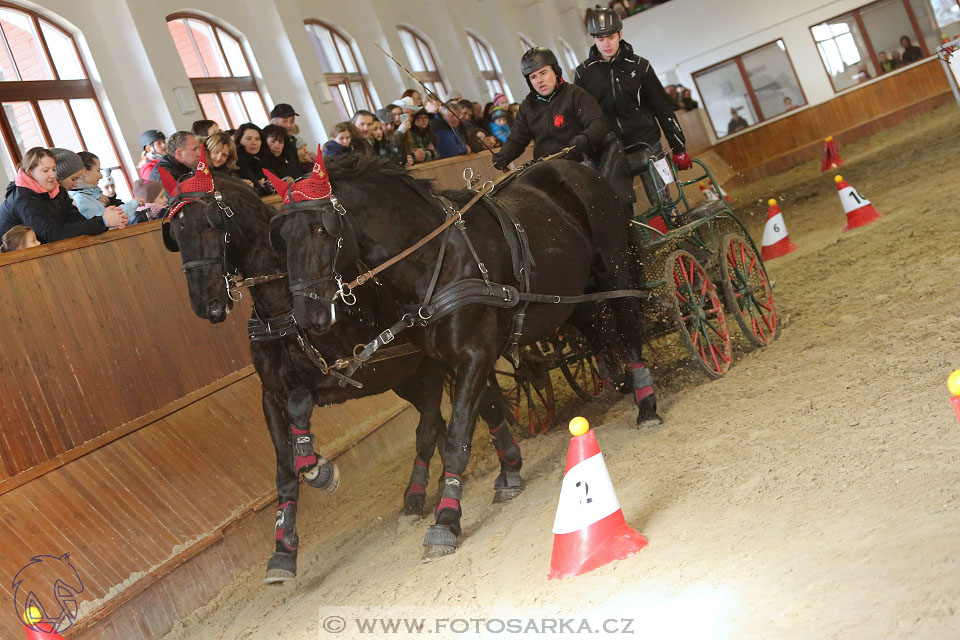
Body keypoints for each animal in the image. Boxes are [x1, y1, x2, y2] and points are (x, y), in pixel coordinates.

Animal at [161, 154, 528, 580]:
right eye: (175, 233)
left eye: (211, 223)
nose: (207, 304)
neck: (282, 306)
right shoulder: (270, 396)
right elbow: (284, 472)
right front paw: (283, 549)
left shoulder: (337, 373)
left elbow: (301, 418)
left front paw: (321, 469)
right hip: (407, 376)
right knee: (447, 417)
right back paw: (434, 487)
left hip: (428, 365)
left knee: (442, 421)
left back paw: (442, 488)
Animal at [270, 152, 656, 556]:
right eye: (281, 238)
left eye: (322, 230)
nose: (307, 316)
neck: (434, 260)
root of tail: (575, 166)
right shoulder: (448, 359)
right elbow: (487, 410)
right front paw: (509, 472)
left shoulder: (473, 353)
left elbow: (457, 436)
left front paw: (445, 520)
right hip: (568, 295)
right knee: (597, 329)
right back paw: (618, 379)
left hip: (614, 269)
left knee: (629, 323)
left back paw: (646, 402)